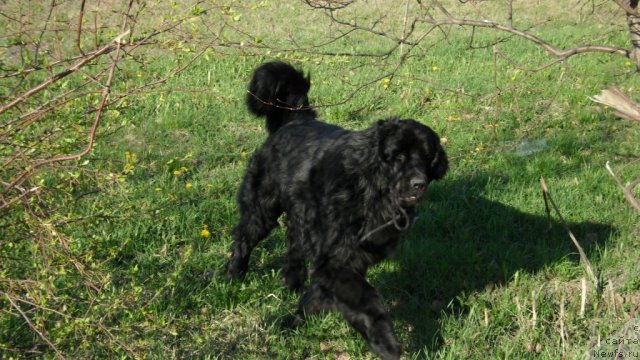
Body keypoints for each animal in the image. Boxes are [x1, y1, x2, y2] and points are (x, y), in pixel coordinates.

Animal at [228, 60, 448, 358]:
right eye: (398, 156)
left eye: (426, 157)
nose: (418, 183)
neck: (371, 190)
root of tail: (297, 120)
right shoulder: (337, 257)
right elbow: (368, 301)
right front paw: (386, 343)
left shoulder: (352, 257)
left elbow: (325, 293)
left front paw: (296, 319)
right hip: (261, 209)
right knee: (244, 239)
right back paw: (232, 276)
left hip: (300, 216)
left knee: (294, 246)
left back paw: (291, 283)